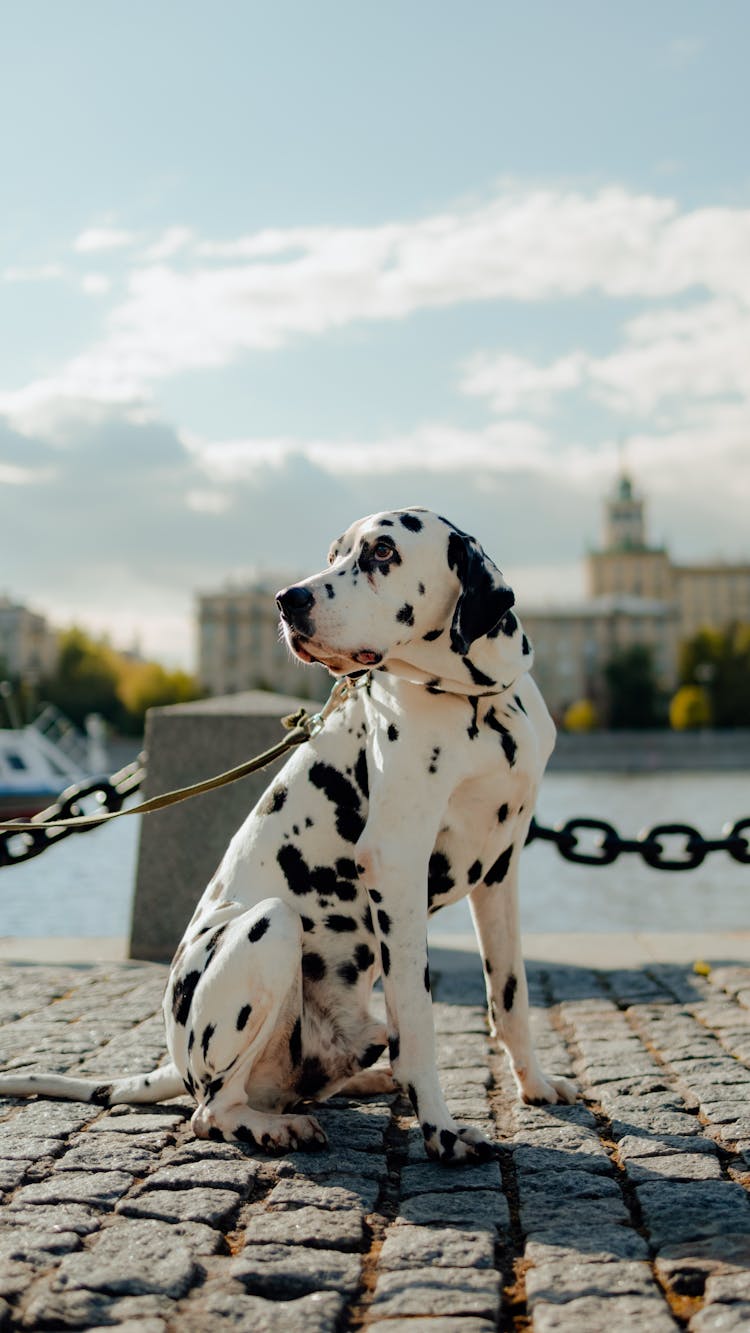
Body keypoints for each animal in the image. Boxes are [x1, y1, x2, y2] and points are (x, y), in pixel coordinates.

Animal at [0, 509, 575, 1167]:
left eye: (383, 551)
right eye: (333, 553)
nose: (286, 599)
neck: (478, 704)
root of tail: (173, 1063)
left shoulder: (500, 872)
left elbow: (510, 995)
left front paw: (534, 1083)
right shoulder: (397, 867)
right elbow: (418, 1020)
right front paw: (443, 1130)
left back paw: (369, 1081)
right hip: (270, 926)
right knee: (212, 1110)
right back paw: (274, 1126)